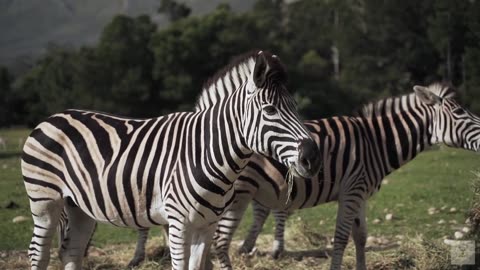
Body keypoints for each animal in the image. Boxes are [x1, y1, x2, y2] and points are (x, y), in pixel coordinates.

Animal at [22, 50, 322, 270]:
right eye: (270, 110)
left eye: (295, 107)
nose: (313, 157)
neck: (206, 154)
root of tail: (52, 117)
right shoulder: (179, 224)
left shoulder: (206, 225)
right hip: (45, 202)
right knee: (38, 252)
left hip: (79, 207)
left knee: (71, 253)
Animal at [124, 83, 480, 270]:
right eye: (460, 112)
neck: (375, 142)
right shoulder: (352, 190)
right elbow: (341, 237)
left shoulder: (360, 192)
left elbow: (361, 236)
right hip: (231, 197)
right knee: (216, 241)